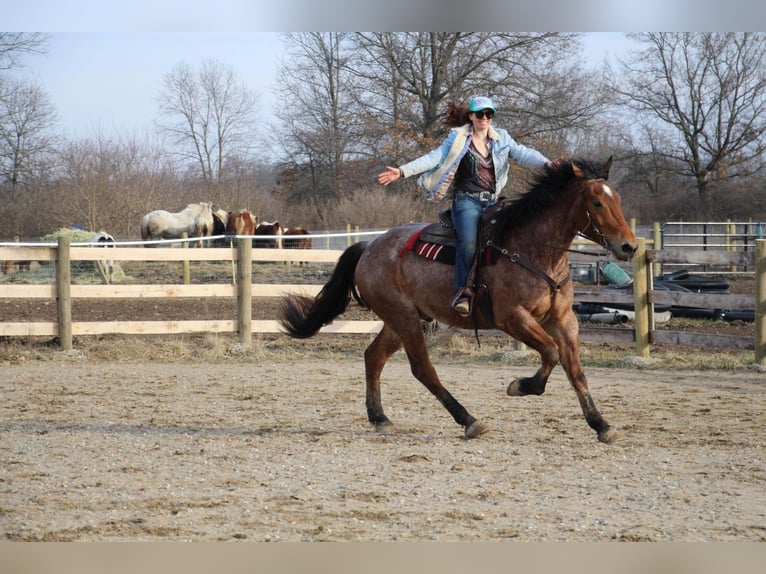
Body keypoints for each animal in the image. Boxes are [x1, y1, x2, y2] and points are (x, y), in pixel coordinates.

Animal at [280, 158, 640, 446]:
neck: (532, 249)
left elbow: (576, 371)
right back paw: (469, 420)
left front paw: (601, 424)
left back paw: (379, 417)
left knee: (374, 357)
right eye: (596, 202)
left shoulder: (564, 320)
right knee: (422, 368)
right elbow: (550, 353)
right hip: (404, 318)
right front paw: (520, 386)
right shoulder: (513, 318)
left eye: (619, 199)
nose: (629, 247)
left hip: (402, 319)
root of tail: (369, 247)